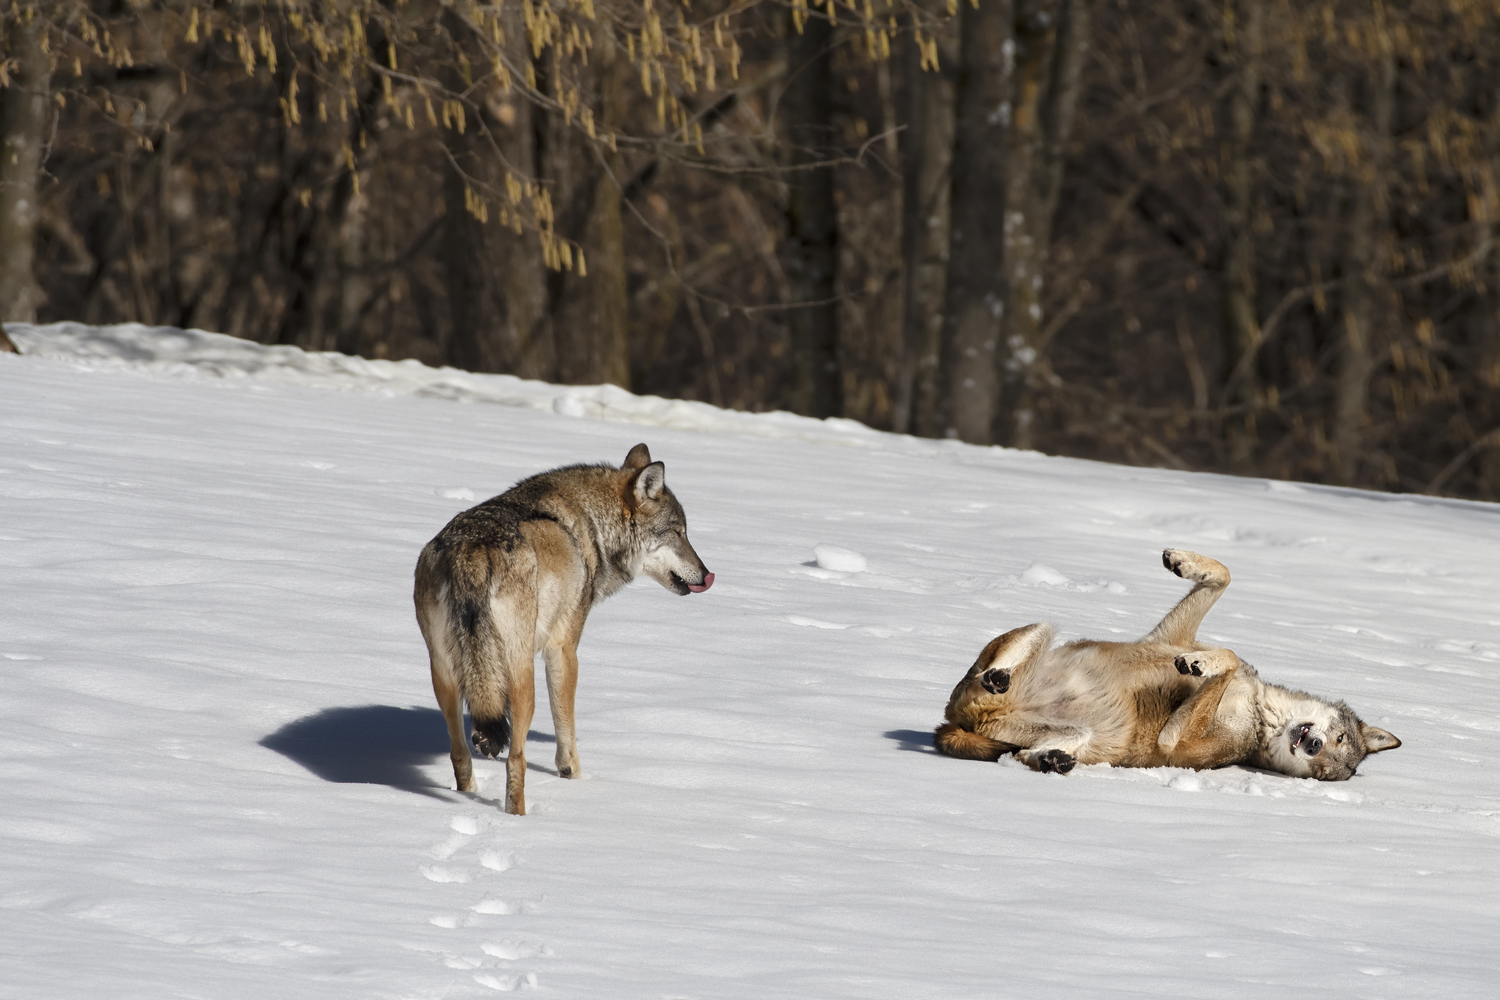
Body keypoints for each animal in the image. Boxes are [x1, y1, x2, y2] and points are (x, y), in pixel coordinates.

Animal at [414, 443, 713, 814]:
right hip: (521, 679)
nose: (707, 574)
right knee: (516, 759)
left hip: (444, 674)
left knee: (459, 753)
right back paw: (519, 817)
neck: (593, 525)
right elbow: (566, 728)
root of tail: (472, 554)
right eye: (678, 532)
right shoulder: (563, 649)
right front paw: (574, 778)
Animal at [936, 549, 1400, 780]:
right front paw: (1181, 560)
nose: (1314, 747)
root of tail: (956, 724)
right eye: (1339, 737)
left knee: (1017, 749)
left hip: (1062, 728)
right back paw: (1001, 680)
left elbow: (1227, 656)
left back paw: (1048, 757)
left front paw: (1198, 664)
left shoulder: (1175, 741)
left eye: (1323, 775)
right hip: (1046, 629)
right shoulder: (1163, 638)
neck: (1259, 713)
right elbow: (1224, 575)